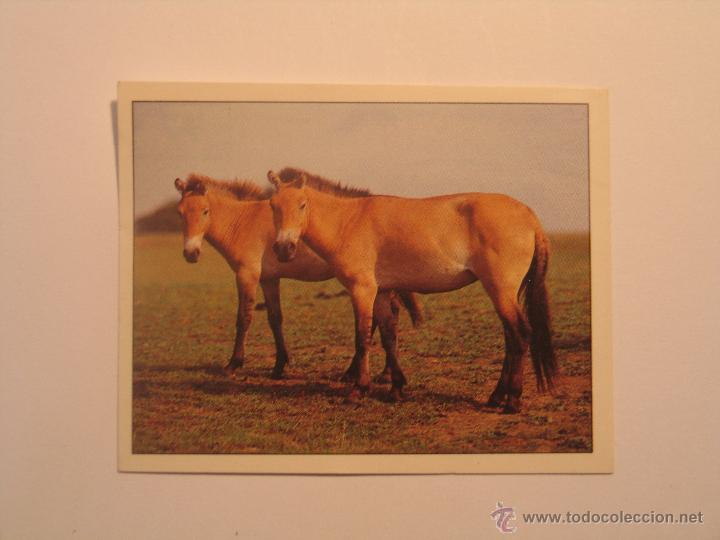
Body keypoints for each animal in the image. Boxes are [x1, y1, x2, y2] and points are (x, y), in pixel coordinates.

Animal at [174, 172, 423, 383]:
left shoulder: (247, 276)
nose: (190, 253)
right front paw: (279, 366)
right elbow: (275, 318)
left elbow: (244, 318)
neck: (242, 222)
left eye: (205, 210)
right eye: (180, 213)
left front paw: (233, 365)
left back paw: (372, 373)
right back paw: (376, 372)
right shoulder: (269, 280)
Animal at [267, 170, 557, 413]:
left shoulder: (362, 290)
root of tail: (528, 214)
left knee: (520, 335)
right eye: (273, 206)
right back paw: (497, 396)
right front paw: (396, 387)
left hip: (500, 289)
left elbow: (362, 338)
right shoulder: (382, 292)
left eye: (302, 204)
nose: (283, 248)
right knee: (511, 338)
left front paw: (359, 390)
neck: (348, 222)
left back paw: (512, 401)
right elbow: (388, 337)